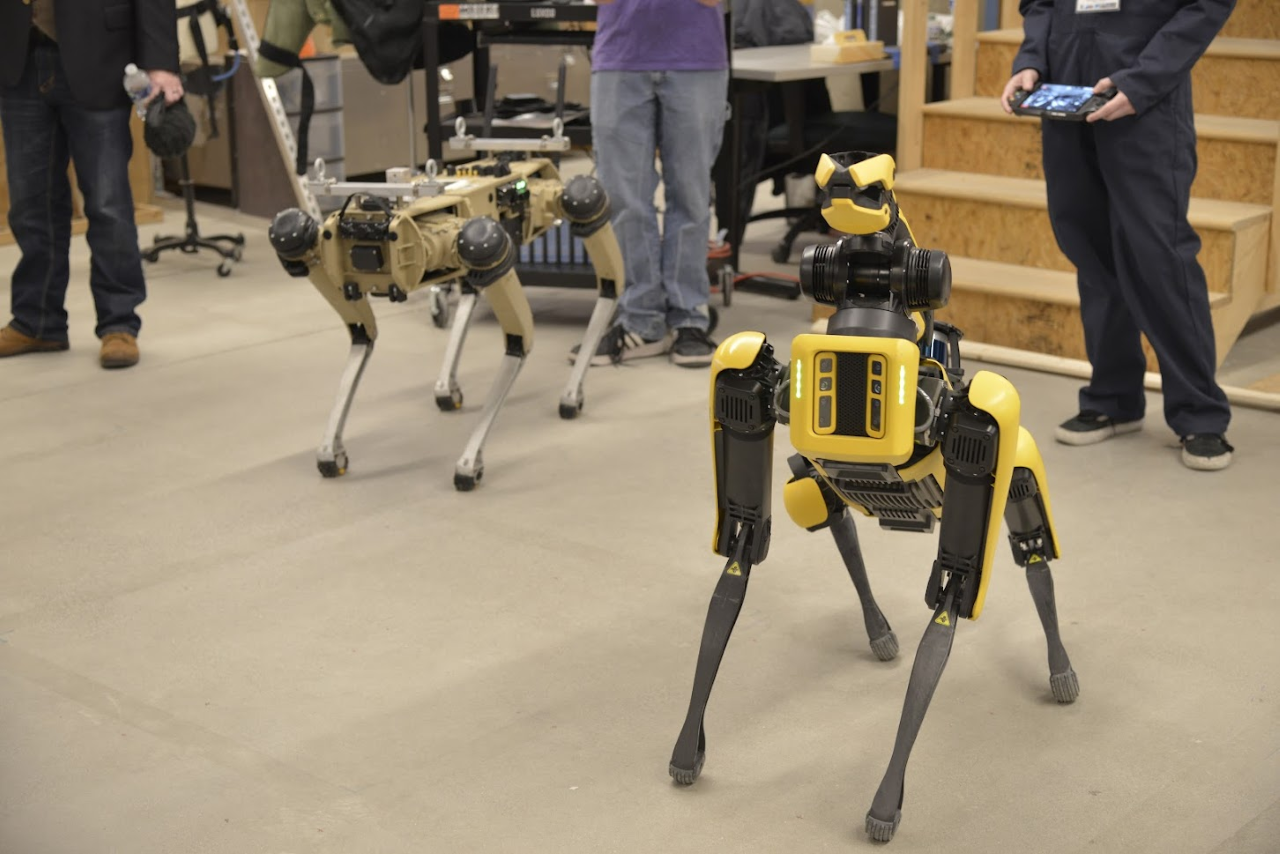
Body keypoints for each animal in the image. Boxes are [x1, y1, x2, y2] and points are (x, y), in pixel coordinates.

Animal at [670, 151, 1080, 839]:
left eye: (877, 190)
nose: (841, 184)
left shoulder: (979, 416)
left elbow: (953, 591)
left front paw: (886, 803)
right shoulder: (748, 371)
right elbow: (744, 548)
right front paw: (686, 746)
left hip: (1014, 466)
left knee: (1030, 546)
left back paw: (1061, 671)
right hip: (817, 478)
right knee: (825, 509)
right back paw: (879, 630)